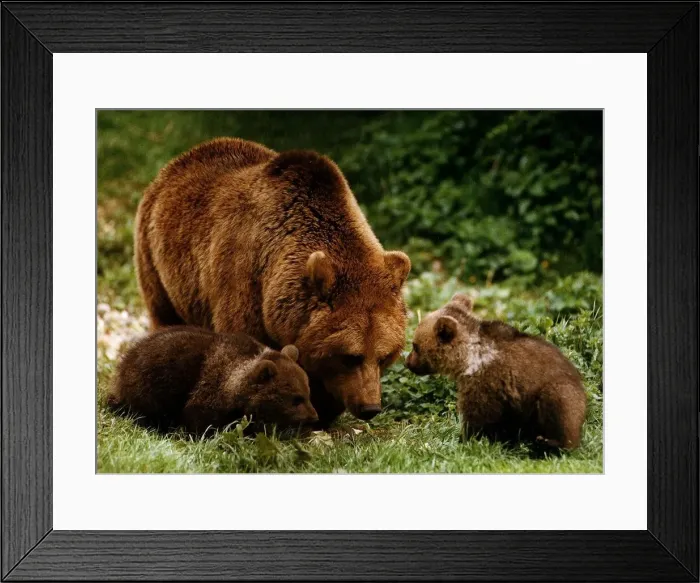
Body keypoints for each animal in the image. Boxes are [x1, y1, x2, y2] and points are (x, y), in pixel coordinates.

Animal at [106, 326, 318, 435]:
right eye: (296, 399)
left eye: (308, 393)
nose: (315, 417)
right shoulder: (208, 390)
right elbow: (200, 422)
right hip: (153, 381)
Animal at [135, 137, 410, 426]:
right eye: (351, 357)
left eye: (384, 356)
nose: (370, 408)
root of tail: (181, 160)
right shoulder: (245, 280)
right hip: (157, 260)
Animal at [405, 293, 587, 450]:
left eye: (415, 346)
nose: (408, 363)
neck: (468, 356)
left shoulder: (484, 381)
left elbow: (478, 416)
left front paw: (465, 439)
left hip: (560, 391)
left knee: (559, 408)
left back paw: (549, 442)